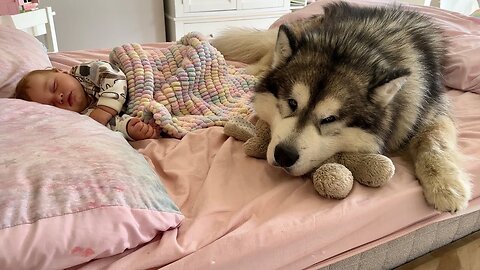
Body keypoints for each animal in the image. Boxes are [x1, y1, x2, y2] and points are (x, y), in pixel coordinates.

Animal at [214, 2, 472, 213]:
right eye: (292, 103)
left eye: (329, 119)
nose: (284, 155)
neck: (355, 43)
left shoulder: (432, 108)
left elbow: (434, 142)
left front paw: (446, 185)